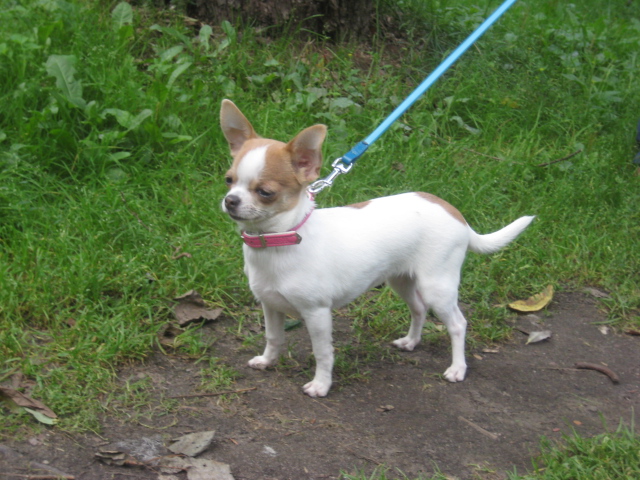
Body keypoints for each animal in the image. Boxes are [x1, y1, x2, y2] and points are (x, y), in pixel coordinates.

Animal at [220, 99, 534, 397]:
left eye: (265, 192)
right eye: (228, 180)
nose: (230, 200)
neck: (281, 238)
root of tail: (456, 213)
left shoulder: (317, 313)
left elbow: (323, 352)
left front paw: (321, 385)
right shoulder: (270, 305)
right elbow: (273, 337)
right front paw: (267, 361)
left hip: (437, 286)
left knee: (457, 324)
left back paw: (457, 368)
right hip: (402, 280)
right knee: (418, 308)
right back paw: (411, 341)